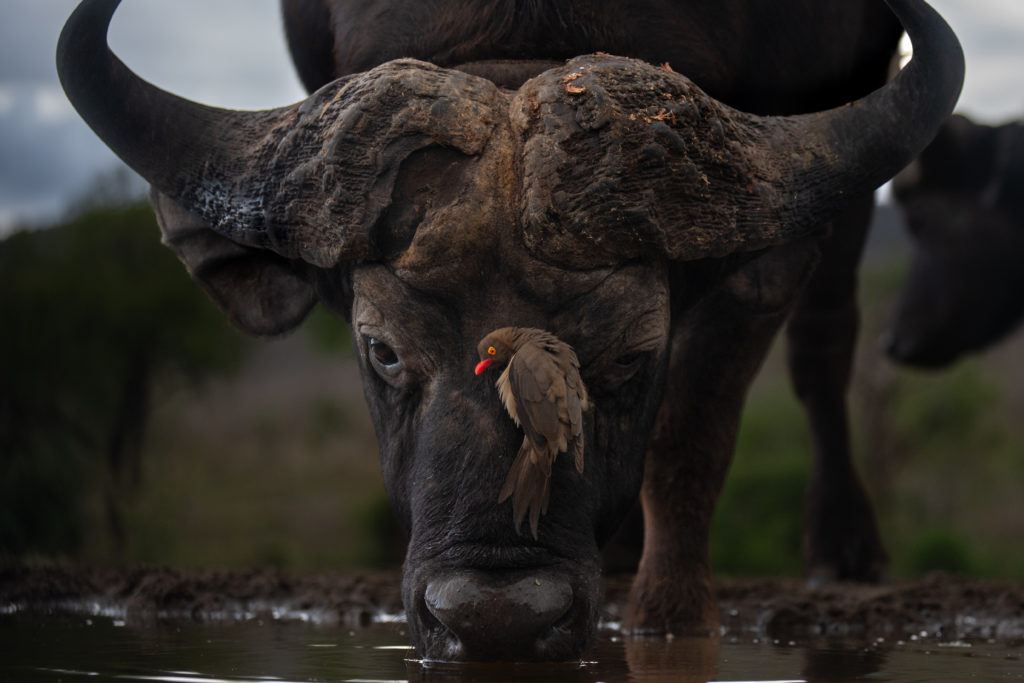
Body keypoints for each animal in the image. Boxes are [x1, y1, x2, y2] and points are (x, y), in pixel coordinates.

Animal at [58, 0, 958, 663]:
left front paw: (669, 613)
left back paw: (843, 548)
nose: (497, 618)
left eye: (633, 355)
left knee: (824, 343)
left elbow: (690, 441)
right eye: (382, 350)